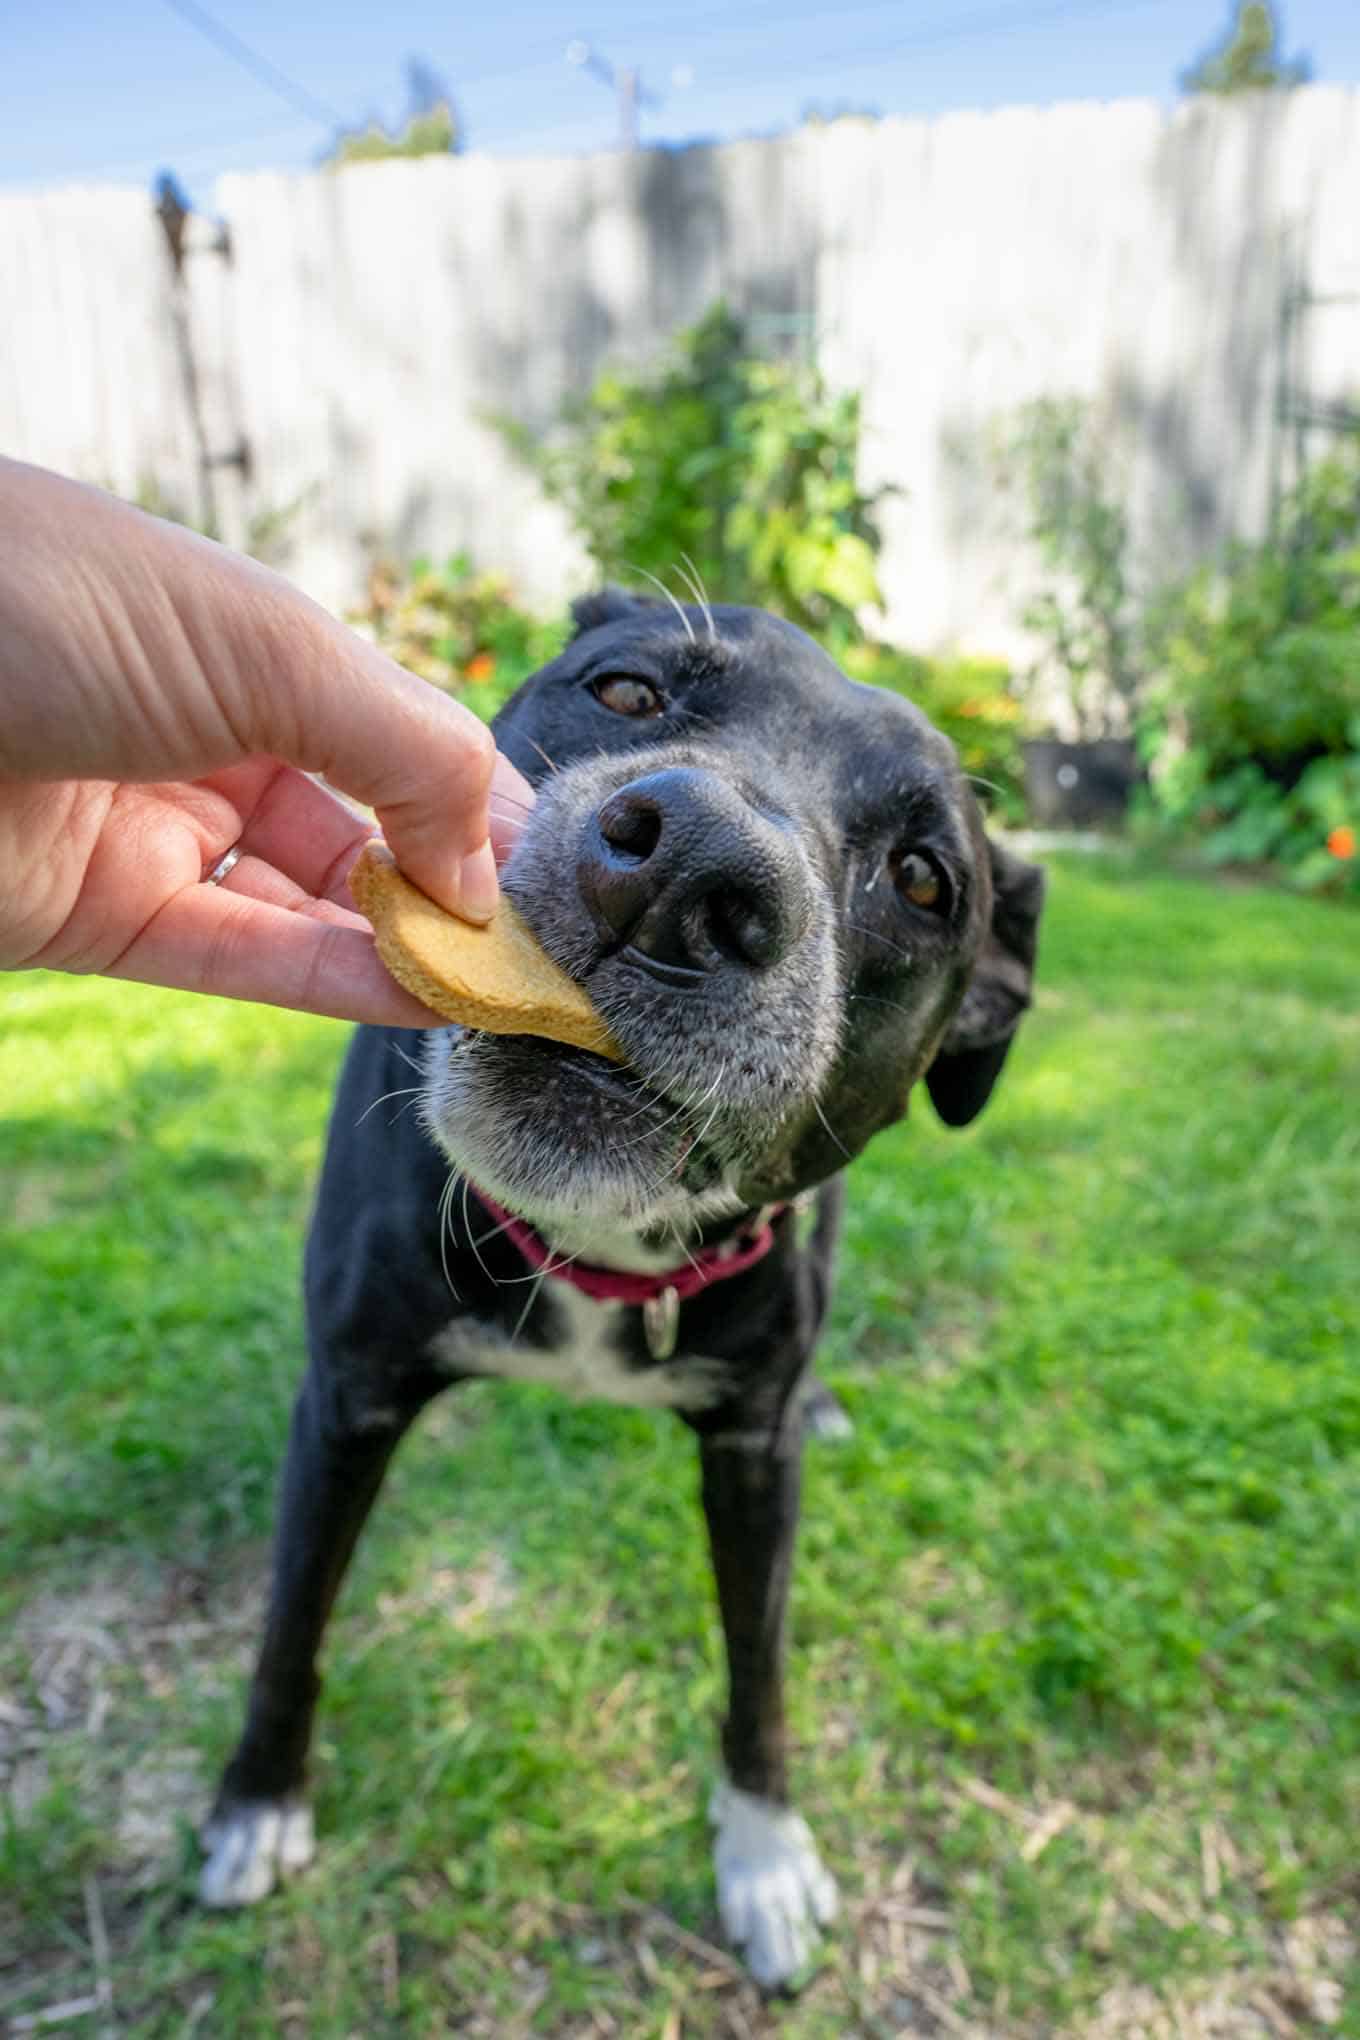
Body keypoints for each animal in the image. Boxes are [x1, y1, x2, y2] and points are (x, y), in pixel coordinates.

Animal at [199, 595, 1043, 1991]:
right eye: (630, 693)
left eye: (925, 879)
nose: (691, 868)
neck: (593, 1246)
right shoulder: (348, 1399)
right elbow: (290, 1623)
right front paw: (258, 1802)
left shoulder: (749, 1457)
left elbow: (759, 1665)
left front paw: (763, 1852)